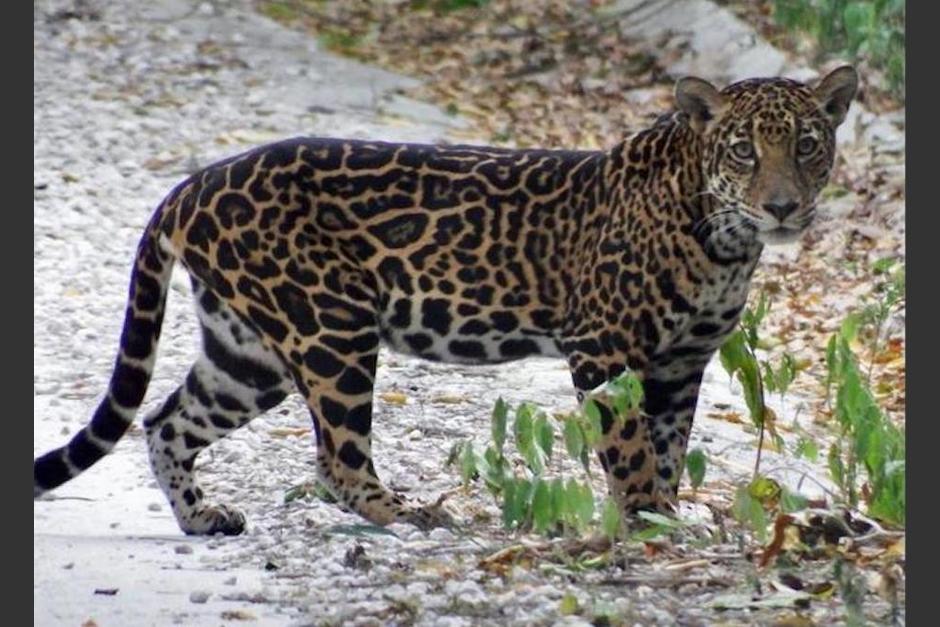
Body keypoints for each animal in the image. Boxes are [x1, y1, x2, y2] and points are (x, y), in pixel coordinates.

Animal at [34, 66, 858, 535]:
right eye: (744, 151)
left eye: (808, 145)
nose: (783, 207)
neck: (724, 239)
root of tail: (194, 182)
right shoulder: (605, 349)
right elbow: (627, 447)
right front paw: (649, 525)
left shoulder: (682, 362)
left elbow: (668, 447)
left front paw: (661, 513)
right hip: (330, 329)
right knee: (335, 460)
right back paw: (411, 514)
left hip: (248, 351)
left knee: (168, 422)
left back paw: (203, 516)